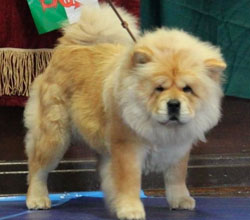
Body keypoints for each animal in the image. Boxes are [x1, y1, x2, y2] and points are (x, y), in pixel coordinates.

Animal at [23, 2, 227, 219]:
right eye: (159, 88)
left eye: (187, 89)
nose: (173, 104)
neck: (161, 129)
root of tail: (68, 47)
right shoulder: (128, 148)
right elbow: (129, 182)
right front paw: (131, 210)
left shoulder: (178, 148)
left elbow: (177, 177)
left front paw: (180, 200)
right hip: (55, 135)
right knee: (37, 168)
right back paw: (37, 199)